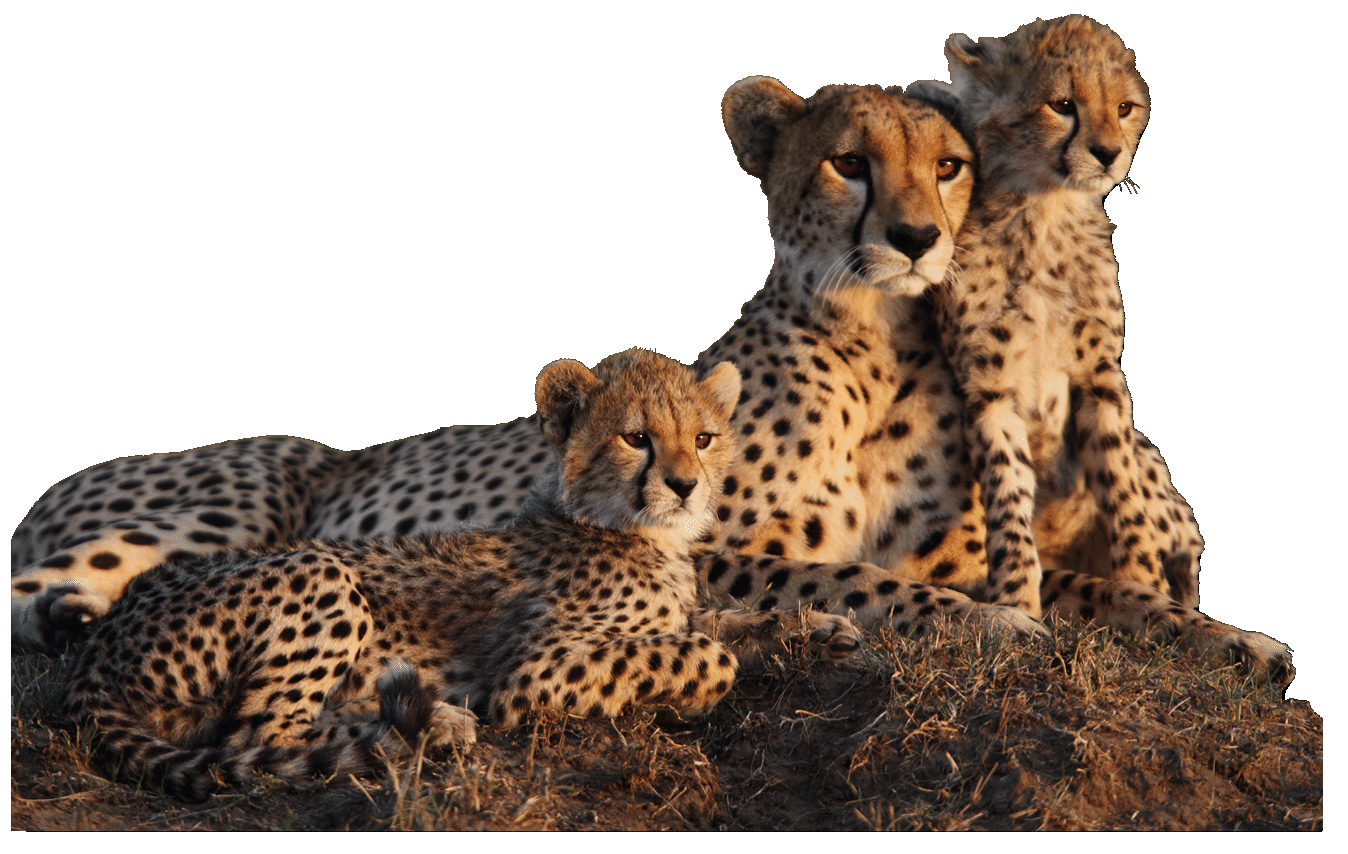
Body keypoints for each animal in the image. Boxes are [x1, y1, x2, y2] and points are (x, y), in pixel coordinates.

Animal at [13, 77, 1291, 681]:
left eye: (948, 166)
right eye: (847, 162)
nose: (918, 238)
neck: (876, 347)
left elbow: (1109, 596)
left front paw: (1229, 637)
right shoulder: (704, 542)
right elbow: (874, 582)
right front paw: (988, 627)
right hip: (213, 518)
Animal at [63, 347, 857, 801]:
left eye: (704, 437)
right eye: (636, 437)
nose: (688, 486)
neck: (628, 529)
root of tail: (100, 642)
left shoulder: (681, 607)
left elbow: (725, 619)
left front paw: (820, 627)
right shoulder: (533, 672)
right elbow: (708, 652)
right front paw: (696, 686)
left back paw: (428, 717)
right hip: (321, 572)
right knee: (253, 735)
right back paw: (425, 731)